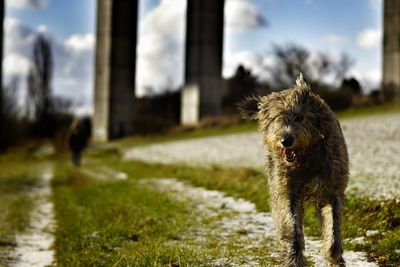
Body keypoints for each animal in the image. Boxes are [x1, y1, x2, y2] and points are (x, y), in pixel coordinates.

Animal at [239, 74, 348, 266]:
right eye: (276, 118)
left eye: (299, 117)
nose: (286, 140)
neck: (306, 158)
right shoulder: (286, 190)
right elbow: (291, 228)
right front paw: (294, 259)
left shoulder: (332, 189)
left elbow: (333, 229)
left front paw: (334, 257)